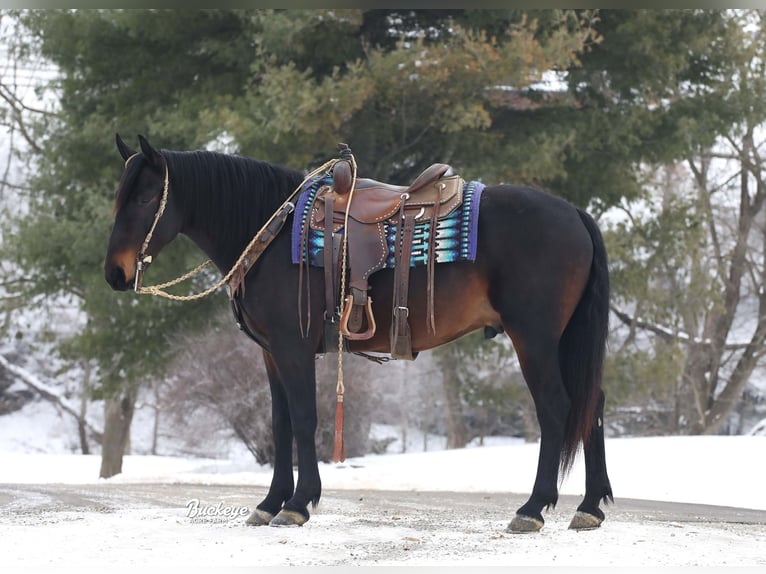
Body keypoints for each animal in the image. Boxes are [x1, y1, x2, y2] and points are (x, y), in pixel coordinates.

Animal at [105, 135, 616, 536]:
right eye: (118, 197)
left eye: (146, 199)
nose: (115, 274)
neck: (273, 232)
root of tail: (575, 213)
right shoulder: (271, 354)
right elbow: (280, 424)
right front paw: (269, 504)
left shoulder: (293, 348)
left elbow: (304, 419)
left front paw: (298, 505)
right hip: (564, 340)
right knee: (593, 405)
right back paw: (590, 508)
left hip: (535, 338)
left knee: (557, 407)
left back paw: (532, 509)